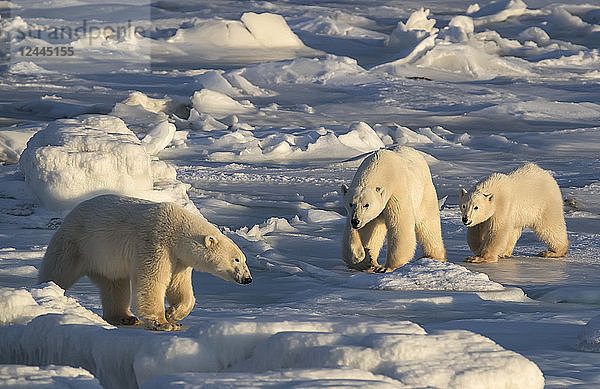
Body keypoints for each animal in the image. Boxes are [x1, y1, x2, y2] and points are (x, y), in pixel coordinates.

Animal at [38, 194, 252, 330]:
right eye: (236, 259)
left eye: (244, 259)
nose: (248, 279)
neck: (177, 230)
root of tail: (70, 215)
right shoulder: (155, 244)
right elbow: (152, 281)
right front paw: (164, 323)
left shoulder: (179, 259)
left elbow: (179, 287)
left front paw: (173, 314)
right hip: (77, 243)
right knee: (58, 270)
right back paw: (46, 290)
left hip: (106, 260)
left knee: (115, 285)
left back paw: (125, 318)